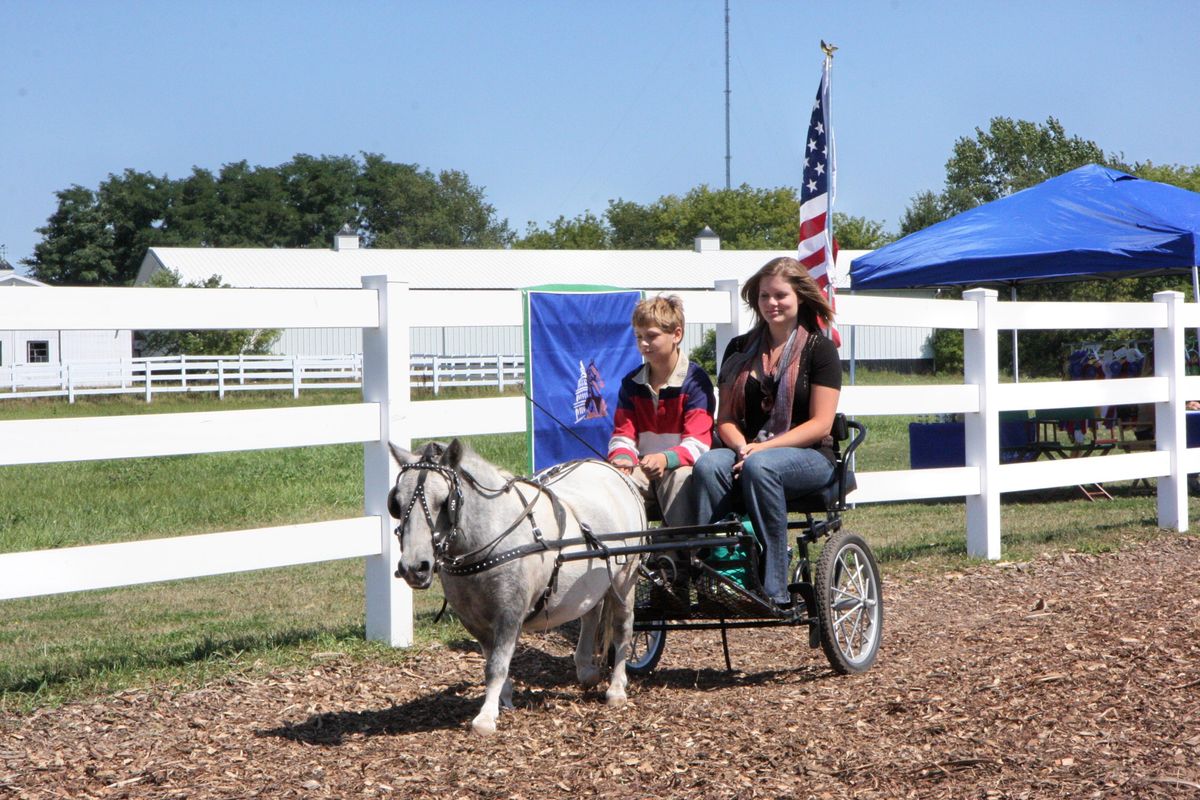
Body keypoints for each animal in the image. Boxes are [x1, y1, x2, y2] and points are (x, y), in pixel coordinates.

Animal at [388, 441, 643, 734]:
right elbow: (491, 660)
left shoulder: (510, 614)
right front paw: (504, 698)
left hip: (625, 577)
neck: (488, 542)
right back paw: (586, 670)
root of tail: (612, 470)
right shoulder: (473, 620)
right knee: (590, 613)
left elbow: (497, 665)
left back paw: (616, 688)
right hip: (591, 580)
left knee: (622, 627)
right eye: (397, 503)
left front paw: (486, 717)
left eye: (444, 501)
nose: (414, 567)